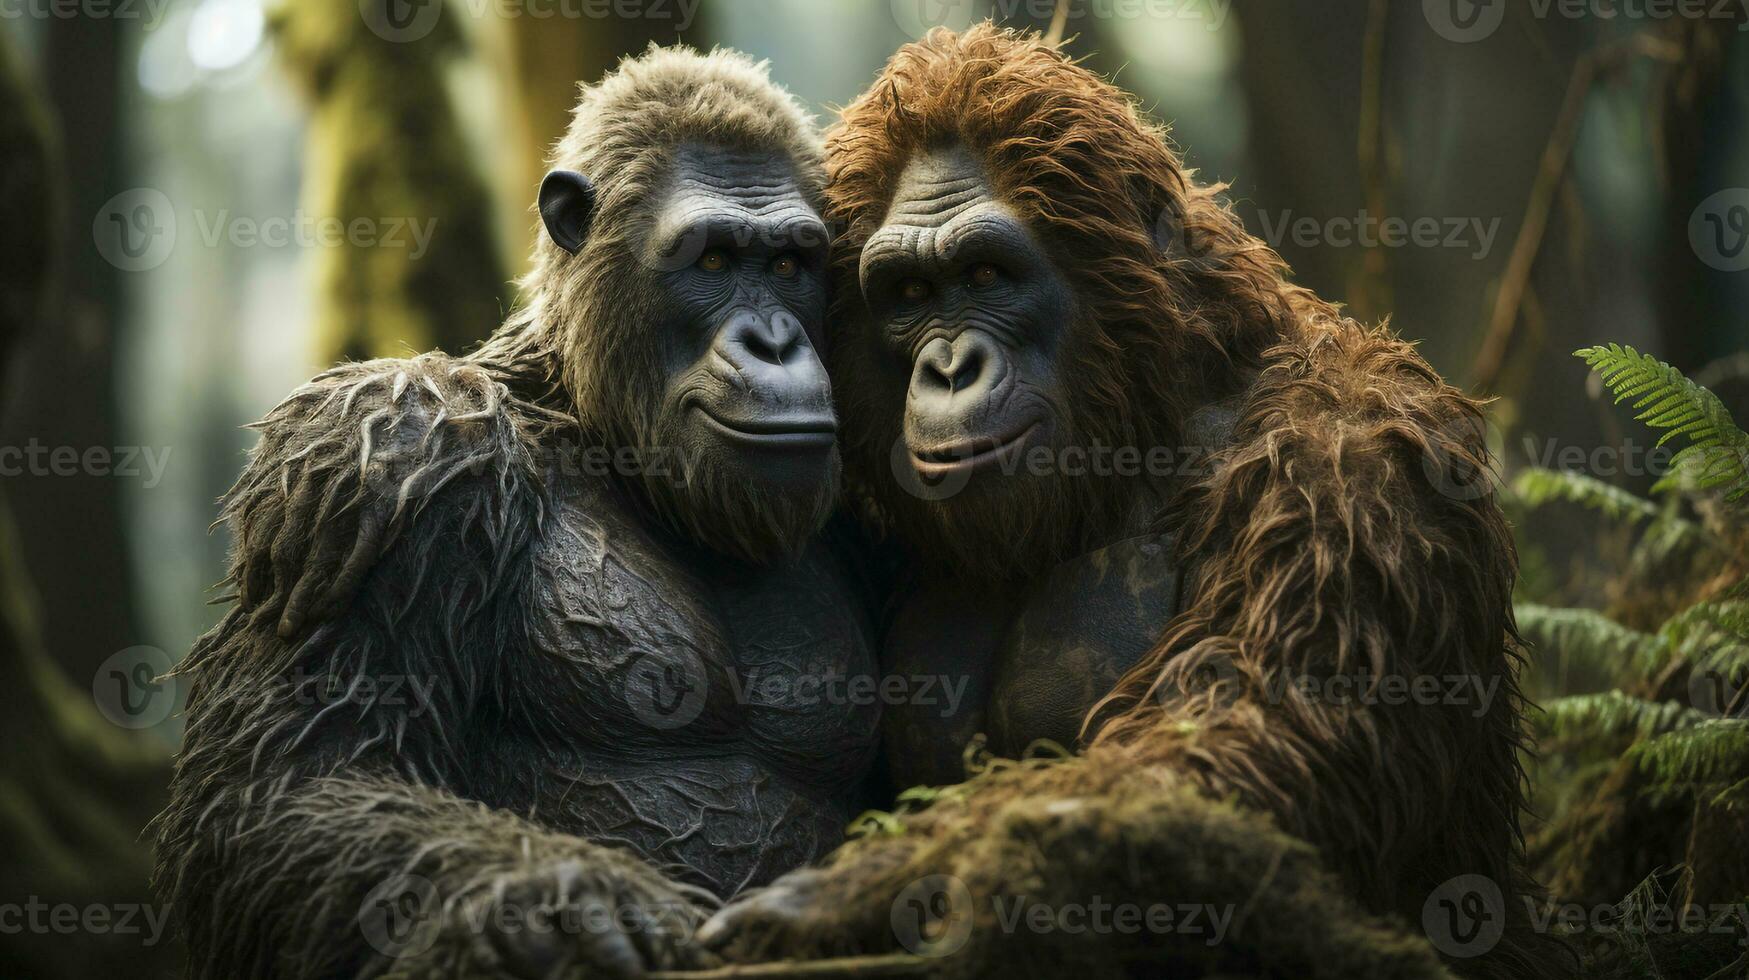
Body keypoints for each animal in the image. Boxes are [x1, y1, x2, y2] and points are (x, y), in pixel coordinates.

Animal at [155, 43, 881, 980]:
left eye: (790, 265)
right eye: (715, 262)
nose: (775, 340)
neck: (587, 414)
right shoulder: (395, 455)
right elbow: (293, 785)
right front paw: (552, 898)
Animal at [703, 22, 1581, 980]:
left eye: (986, 274)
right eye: (908, 293)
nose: (948, 367)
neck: (1147, 411)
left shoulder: (1351, 465)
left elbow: (1240, 749)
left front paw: (865, 890)